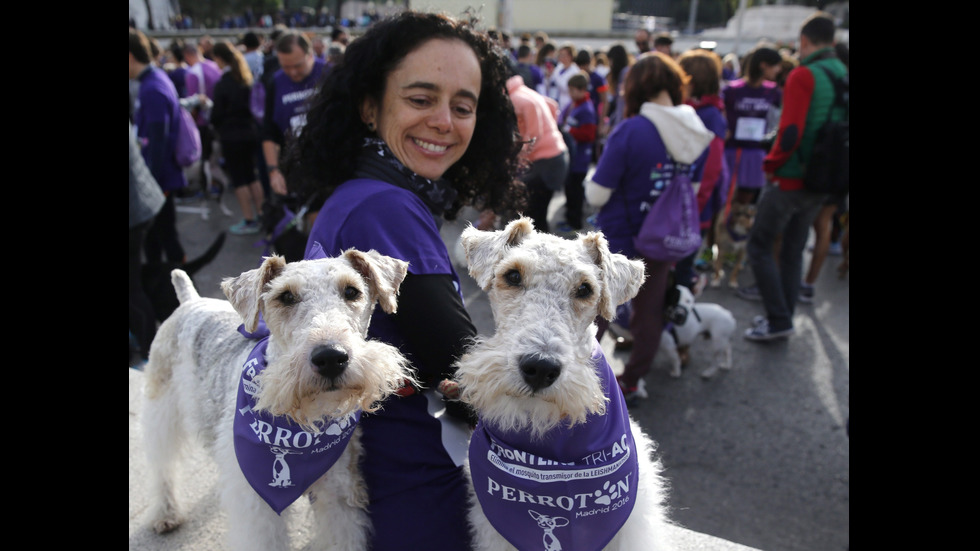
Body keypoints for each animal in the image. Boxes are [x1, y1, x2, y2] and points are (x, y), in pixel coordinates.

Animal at [141, 251, 414, 551]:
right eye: (285, 296)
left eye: (352, 291)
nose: (331, 357)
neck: (302, 422)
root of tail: (191, 300)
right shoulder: (258, 508)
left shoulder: (339, 493)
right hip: (161, 410)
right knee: (162, 465)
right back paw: (165, 514)